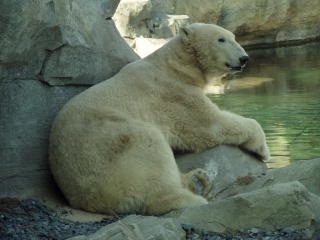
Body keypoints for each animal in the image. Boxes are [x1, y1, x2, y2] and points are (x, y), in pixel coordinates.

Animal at [49, 23, 270, 216]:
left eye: (234, 37)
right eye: (221, 39)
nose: (244, 58)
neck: (174, 66)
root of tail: (85, 200)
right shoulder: (174, 93)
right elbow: (211, 125)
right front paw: (263, 150)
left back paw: (197, 178)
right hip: (105, 147)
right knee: (149, 144)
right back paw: (191, 197)